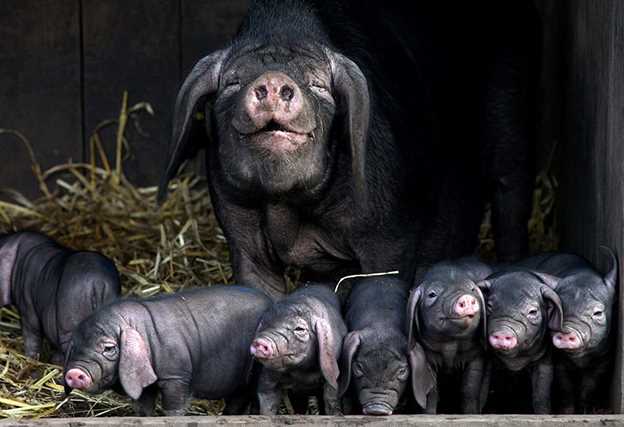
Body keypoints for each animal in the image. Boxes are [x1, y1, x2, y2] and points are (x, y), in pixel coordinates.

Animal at [63, 286, 272, 416]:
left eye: (109, 348)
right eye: (74, 347)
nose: (74, 372)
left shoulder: (176, 376)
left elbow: (173, 408)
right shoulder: (145, 379)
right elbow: (143, 408)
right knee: (239, 399)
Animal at [158, 0, 540, 300]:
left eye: (317, 84)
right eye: (233, 82)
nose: (273, 79)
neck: (286, 205)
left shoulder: (390, 231)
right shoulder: (239, 229)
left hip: (510, 104)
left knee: (511, 196)